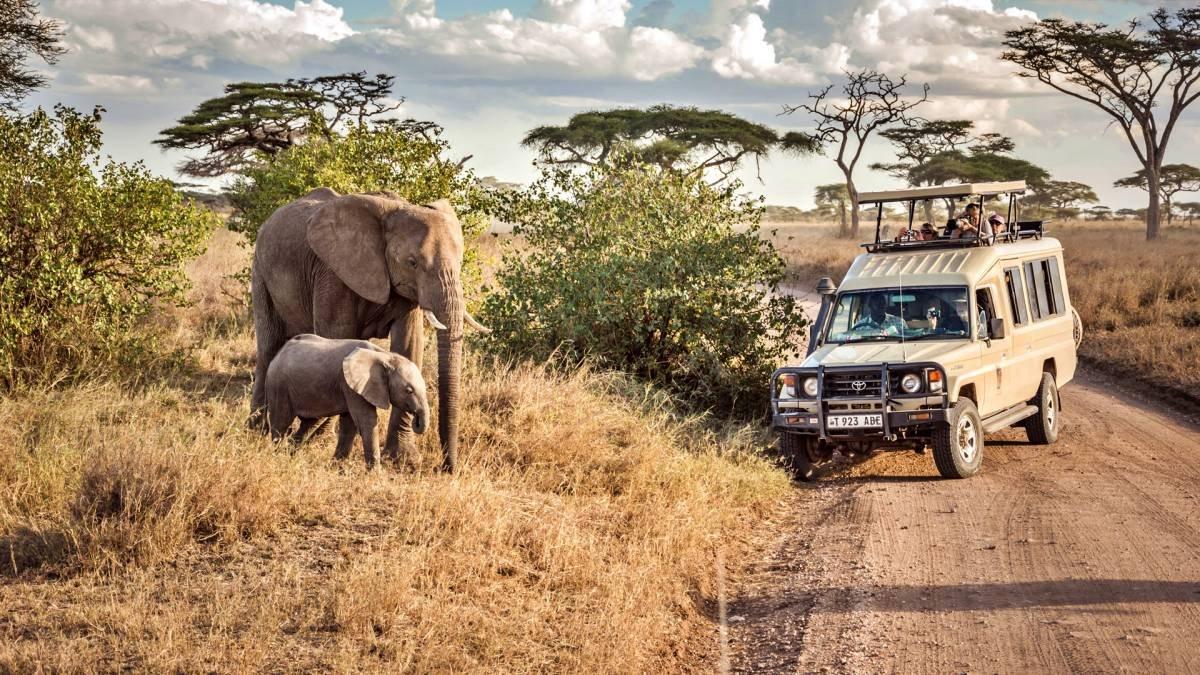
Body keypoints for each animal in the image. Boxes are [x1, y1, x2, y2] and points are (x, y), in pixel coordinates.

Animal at [265, 334, 428, 468]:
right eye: (409, 390)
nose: (416, 420)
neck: (385, 356)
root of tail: (279, 353)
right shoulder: (351, 386)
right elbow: (366, 422)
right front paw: (376, 475)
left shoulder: (351, 387)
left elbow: (349, 425)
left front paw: (336, 469)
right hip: (279, 385)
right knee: (281, 423)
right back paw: (278, 457)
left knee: (310, 423)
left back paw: (290, 454)